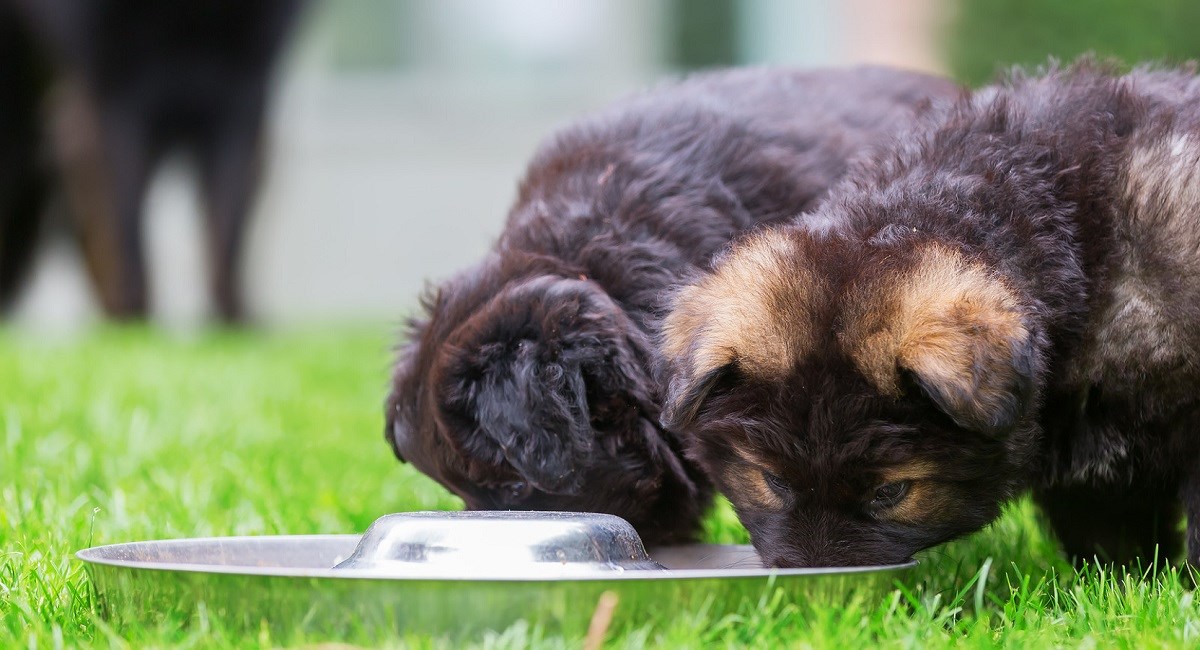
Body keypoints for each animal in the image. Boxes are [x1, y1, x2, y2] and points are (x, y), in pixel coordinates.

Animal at [12, 0, 304, 321]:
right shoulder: (116, 104)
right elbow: (127, 242)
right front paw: (133, 322)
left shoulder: (242, 95)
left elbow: (225, 237)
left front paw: (234, 321)